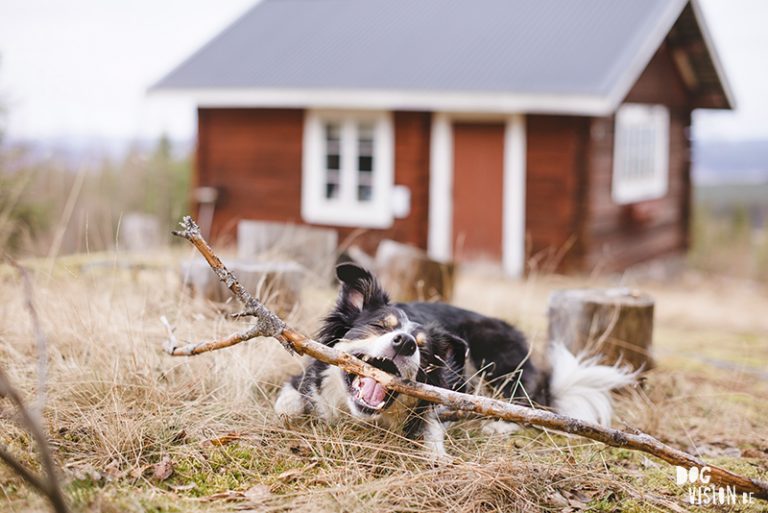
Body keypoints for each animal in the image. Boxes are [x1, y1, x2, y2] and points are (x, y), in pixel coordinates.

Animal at [272, 264, 632, 456]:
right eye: (380, 326)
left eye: (423, 348)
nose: (404, 343)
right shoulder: (300, 379)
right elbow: (287, 403)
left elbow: (431, 430)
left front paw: (436, 456)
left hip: (493, 356)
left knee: (523, 404)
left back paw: (497, 424)